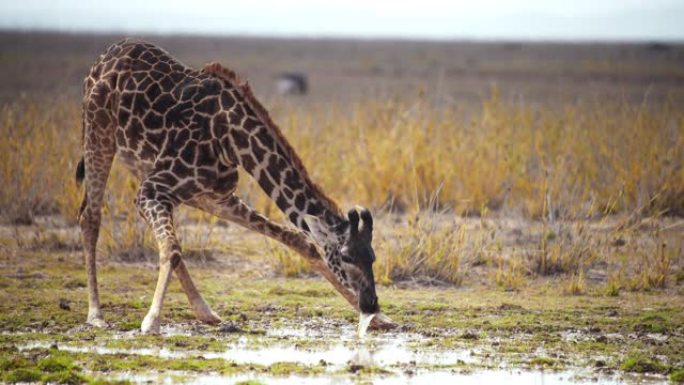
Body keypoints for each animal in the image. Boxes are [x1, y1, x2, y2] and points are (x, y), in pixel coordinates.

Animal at [76, 39, 390, 332]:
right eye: (346, 256)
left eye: (372, 256)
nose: (370, 302)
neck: (229, 139)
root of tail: (107, 54)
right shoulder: (152, 189)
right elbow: (171, 249)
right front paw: (151, 320)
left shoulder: (214, 196)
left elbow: (300, 240)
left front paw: (379, 318)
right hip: (99, 130)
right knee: (90, 216)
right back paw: (95, 315)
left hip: (160, 180)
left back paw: (205, 311)